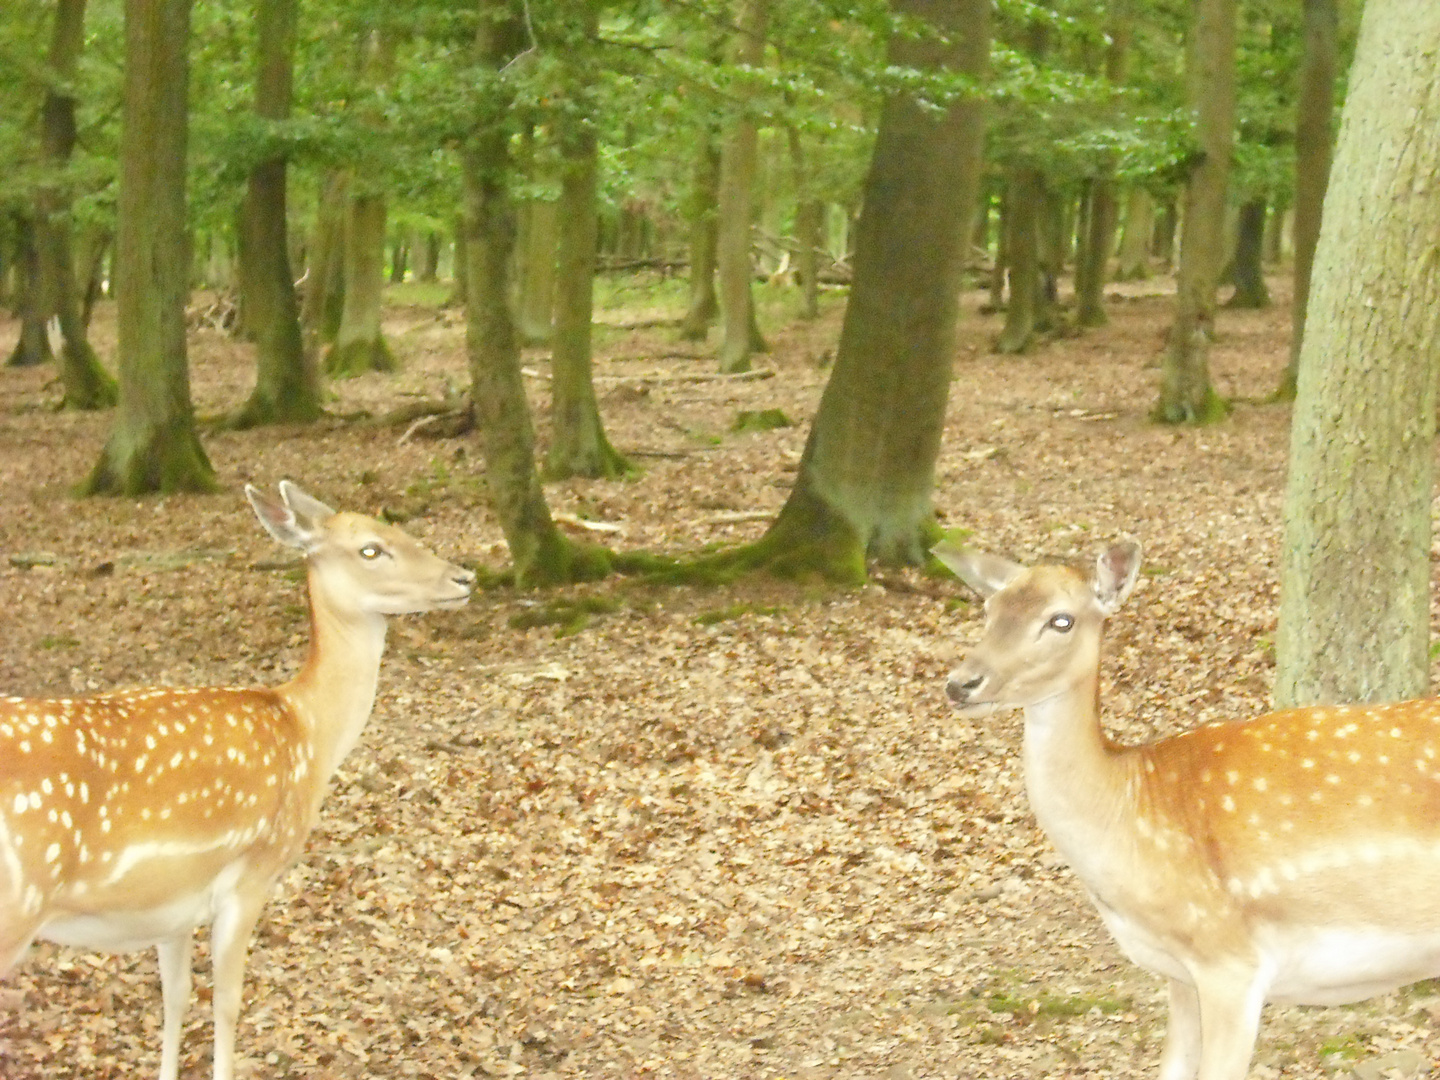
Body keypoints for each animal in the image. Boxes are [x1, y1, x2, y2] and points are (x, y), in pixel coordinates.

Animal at [0, 483, 478, 1080]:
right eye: (371, 549)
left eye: (400, 529)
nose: (464, 577)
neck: (306, 729)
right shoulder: (251, 872)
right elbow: (227, 1000)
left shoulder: (176, 903)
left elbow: (176, 996)